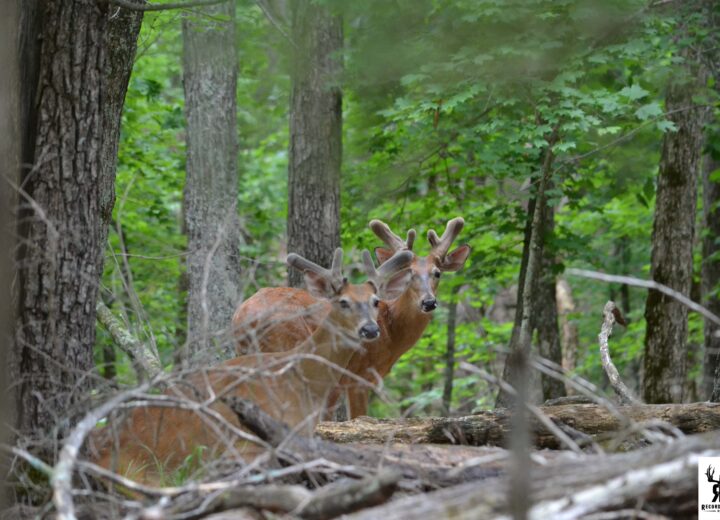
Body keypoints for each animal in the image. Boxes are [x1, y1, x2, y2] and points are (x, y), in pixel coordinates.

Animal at [232, 217, 471, 418]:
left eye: (437, 273)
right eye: (409, 274)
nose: (428, 302)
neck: (391, 332)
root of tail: (244, 316)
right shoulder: (359, 377)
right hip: (287, 344)